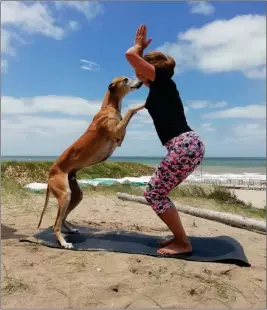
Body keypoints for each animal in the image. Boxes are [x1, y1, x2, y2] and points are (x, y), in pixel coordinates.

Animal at [37, 77, 144, 249]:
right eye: (126, 79)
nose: (140, 82)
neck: (109, 108)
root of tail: (50, 174)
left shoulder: (119, 139)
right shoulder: (116, 132)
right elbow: (131, 110)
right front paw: (143, 103)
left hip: (75, 195)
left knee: (62, 218)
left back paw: (71, 230)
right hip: (65, 195)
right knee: (56, 224)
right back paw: (64, 243)